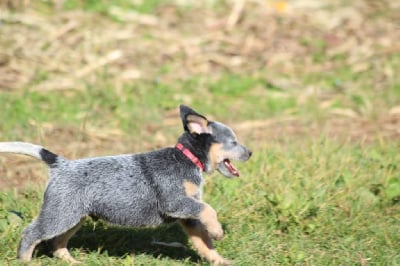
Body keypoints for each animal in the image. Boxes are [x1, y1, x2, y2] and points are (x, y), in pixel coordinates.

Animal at [0, 105, 250, 264]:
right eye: (233, 142)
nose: (250, 152)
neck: (186, 158)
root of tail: (61, 163)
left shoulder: (188, 215)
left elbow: (204, 242)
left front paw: (219, 260)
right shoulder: (175, 202)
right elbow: (208, 209)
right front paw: (217, 230)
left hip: (73, 215)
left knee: (57, 242)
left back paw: (72, 261)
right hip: (60, 214)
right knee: (31, 233)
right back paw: (25, 261)